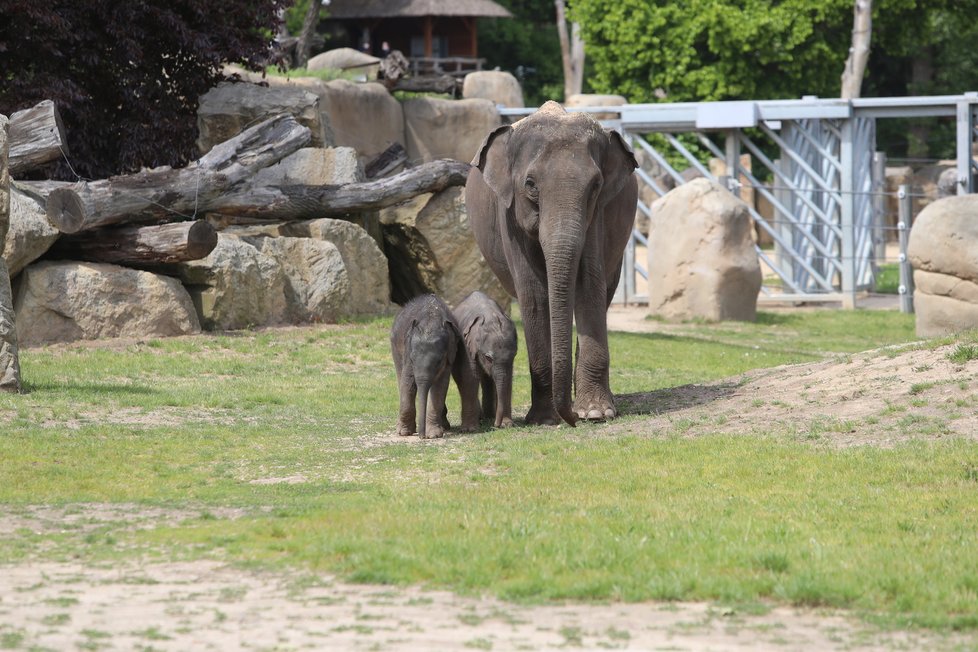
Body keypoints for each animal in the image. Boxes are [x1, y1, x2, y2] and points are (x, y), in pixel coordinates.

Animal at [390, 294, 478, 438]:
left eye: (439, 361)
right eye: (412, 359)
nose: (422, 436)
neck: (432, 318)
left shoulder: (449, 354)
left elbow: (439, 386)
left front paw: (433, 435)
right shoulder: (407, 350)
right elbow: (407, 382)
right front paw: (404, 433)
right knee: (400, 376)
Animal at [452, 292, 516, 428]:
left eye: (514, 355)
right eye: (488, 358)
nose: (496, 425)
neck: (491, 315)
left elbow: (508, 378)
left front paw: (507, 424)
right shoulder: (467, 345)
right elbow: (470, 376)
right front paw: (470, 429)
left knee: (488, 380)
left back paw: (488, 416)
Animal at [468, 100, 640, 428]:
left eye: (596, 185)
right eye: (530, 184)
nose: (571, 419)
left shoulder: (597, 214)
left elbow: (589, 282)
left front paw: (596, 414)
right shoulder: (509, 215)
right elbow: (534, 293)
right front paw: (545, 420)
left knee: (605, 291)